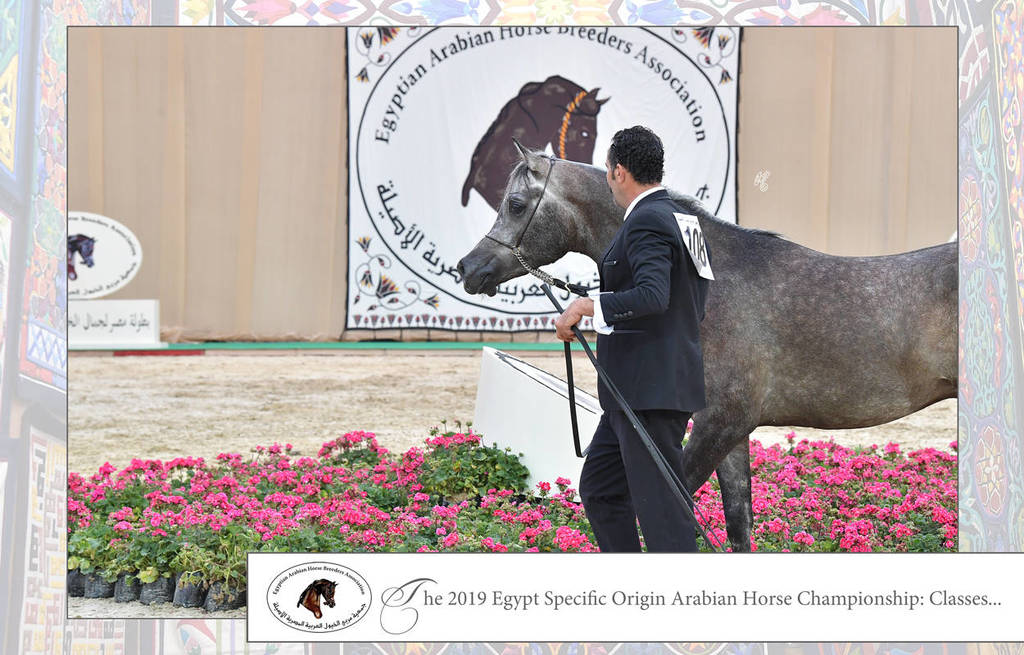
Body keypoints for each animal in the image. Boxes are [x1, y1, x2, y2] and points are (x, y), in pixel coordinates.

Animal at [457, 143, 957, 552]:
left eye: (516, 204)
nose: (468, 267)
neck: (718, 279)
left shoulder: (719, 422)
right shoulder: (732, 431)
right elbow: (738, 523)